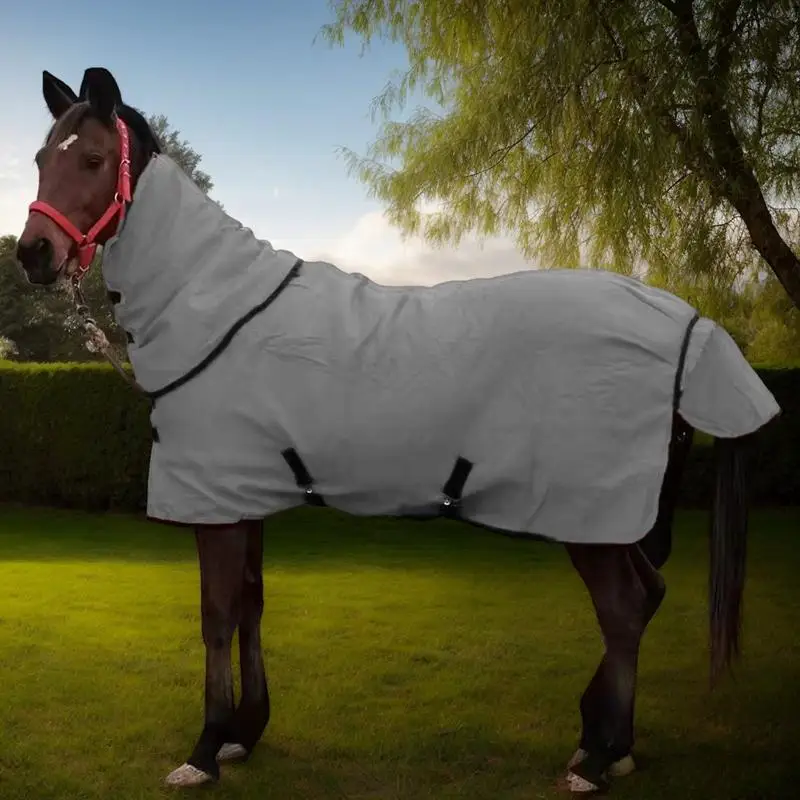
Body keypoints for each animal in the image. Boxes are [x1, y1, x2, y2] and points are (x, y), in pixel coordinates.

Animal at [15, 67, 780, 794]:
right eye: (39, 158)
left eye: (91, 158)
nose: (33, 254)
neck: (218, 308)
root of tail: (688, 323)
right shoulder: (242, 495)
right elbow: (252, 605)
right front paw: (244, 735)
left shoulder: (216, 505)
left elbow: (216, 616)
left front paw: (204, 751)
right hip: (610, 518)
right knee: (648, 597)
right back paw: (605, 744)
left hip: (588, 511)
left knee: (624, 608)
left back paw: (593, 763)